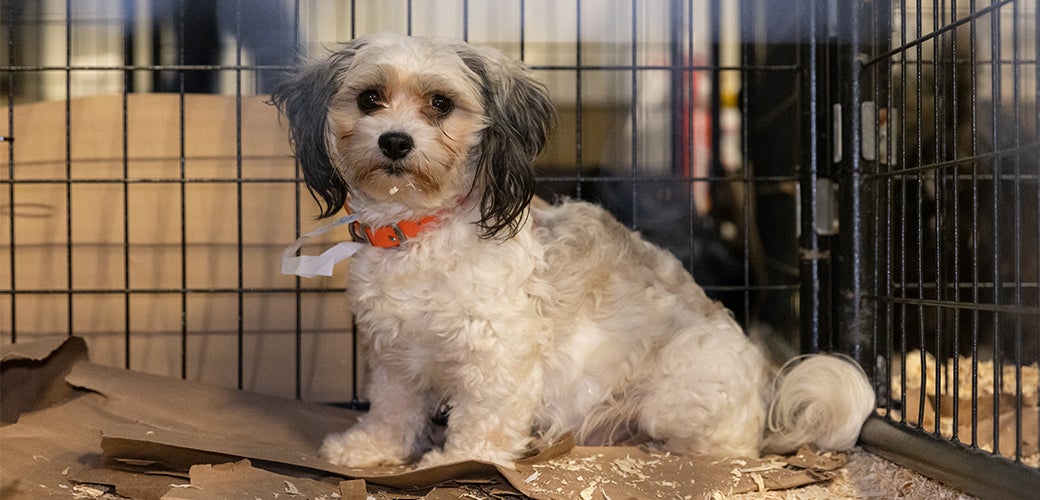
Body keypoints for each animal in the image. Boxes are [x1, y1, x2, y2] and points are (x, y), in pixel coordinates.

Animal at [272, 32, 875, 469]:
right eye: (369, 98)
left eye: (440, 103)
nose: (394, 140)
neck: (419, 232)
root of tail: (765, 384)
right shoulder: (396, 358)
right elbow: (392, 412)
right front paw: (368, 450)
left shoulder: (497, 356)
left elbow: (484, 419)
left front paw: (460, 461)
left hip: (677, 398)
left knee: (733, 448)